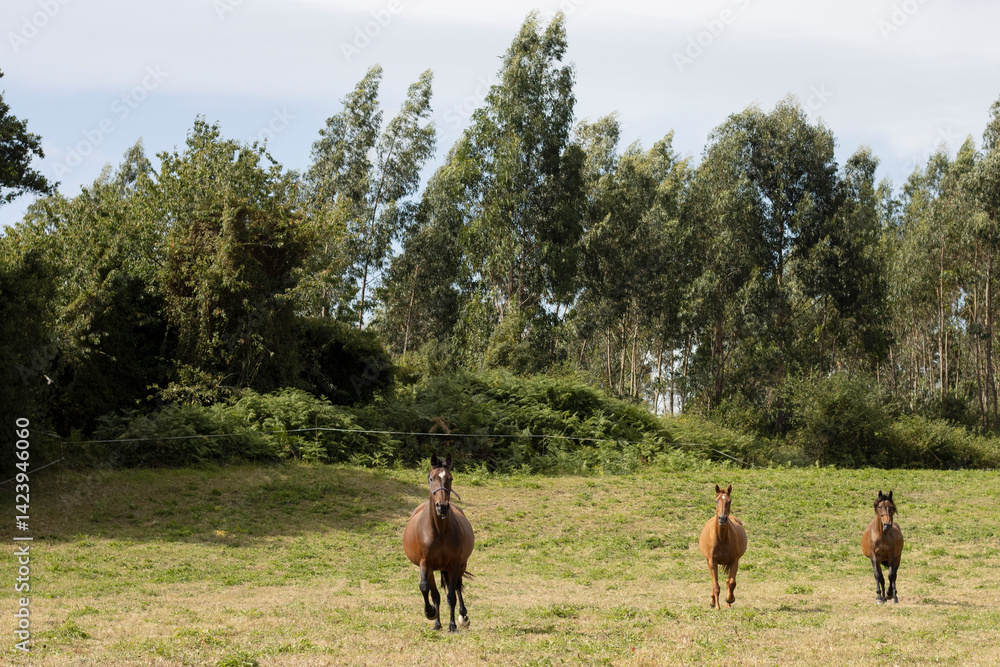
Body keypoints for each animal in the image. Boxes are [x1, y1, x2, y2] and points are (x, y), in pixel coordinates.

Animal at [403, 454, 475, 632]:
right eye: (431, 478)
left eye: (450, 478)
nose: (442, 507)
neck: (439, 531)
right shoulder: (425, 564)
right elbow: (427, 589)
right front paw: (431, 615)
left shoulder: (455, 564)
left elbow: (451, 596)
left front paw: (452, 625)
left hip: (460, 565)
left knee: (457, 587)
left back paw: (463, 617)